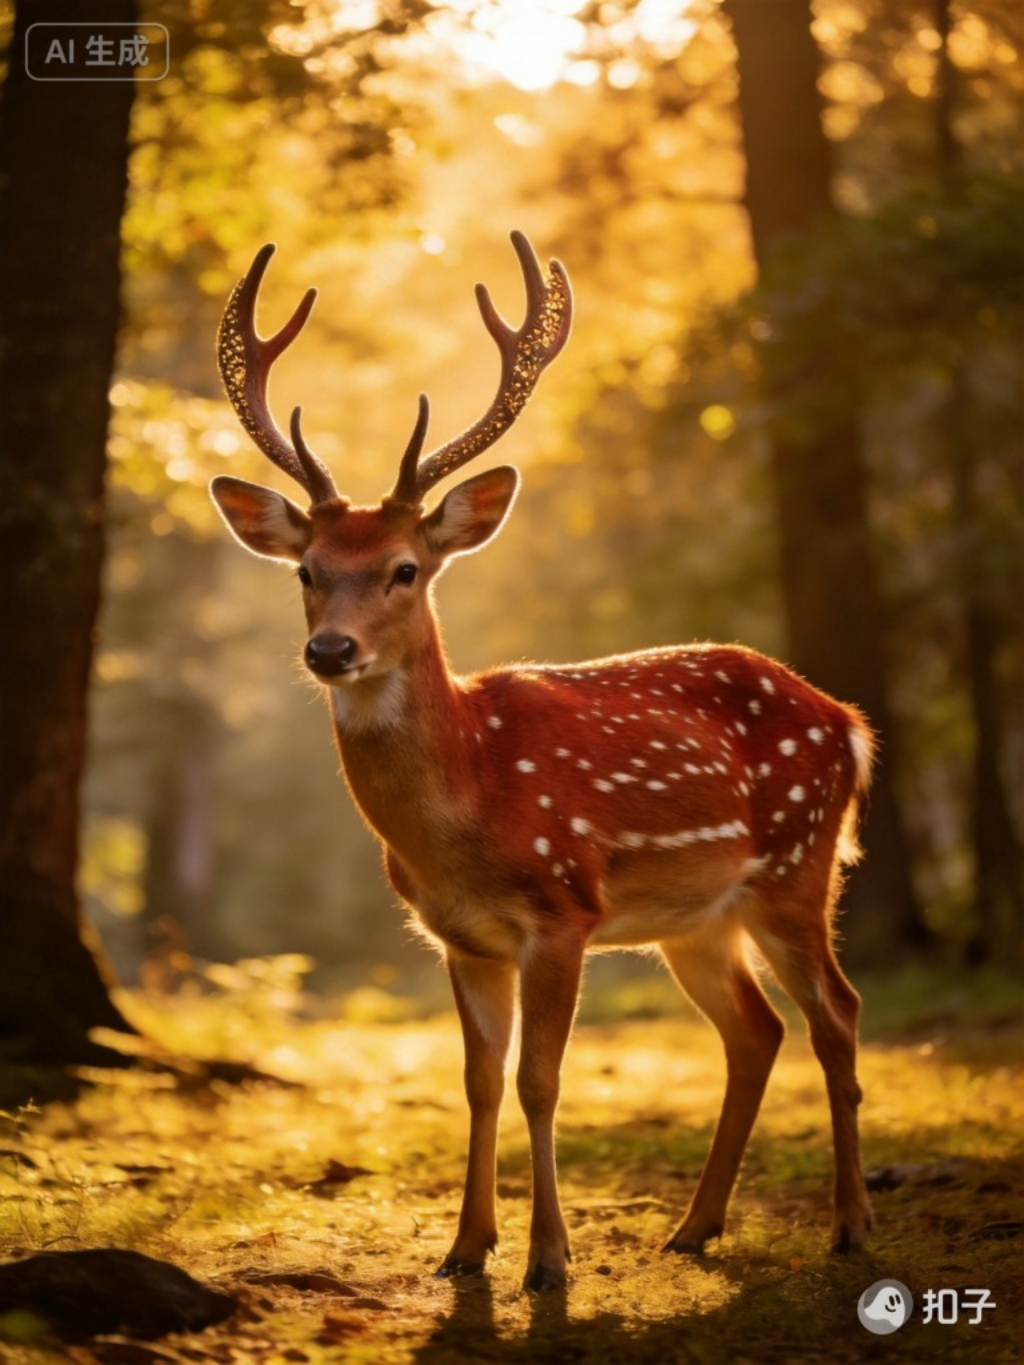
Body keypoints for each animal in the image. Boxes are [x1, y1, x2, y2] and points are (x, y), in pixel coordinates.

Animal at [210, 232, 875, 1291]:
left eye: (405, 568)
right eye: (308, 571)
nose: (330, 650)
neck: (472, 804)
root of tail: (847, 719)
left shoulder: (562, 911)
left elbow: (540, 1078)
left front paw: (549, 1261)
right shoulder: (462, 937)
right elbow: (478, 1081)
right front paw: (464, 1248)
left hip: (797, 866)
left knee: (837, 1014)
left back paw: (850, 1225)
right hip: (697, 918)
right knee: (755, 1030)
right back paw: (694, 1227)